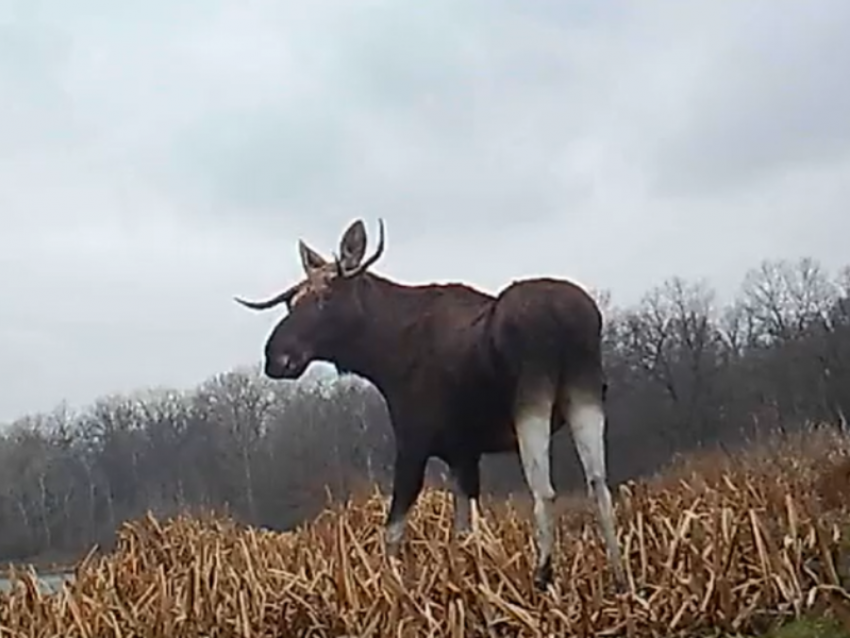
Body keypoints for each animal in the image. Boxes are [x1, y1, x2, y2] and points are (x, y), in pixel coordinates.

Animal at [235, 220, 628, 596]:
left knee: (545, 491)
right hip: (585, 391)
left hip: (532, 399)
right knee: (599, 484)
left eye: (326, 297)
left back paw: (543, 579)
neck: (382, 356)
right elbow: (465, 530)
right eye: (291, 303)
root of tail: (567, 318)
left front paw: (390, 588)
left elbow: (393, 531)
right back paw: (620, 580)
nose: (276, 357)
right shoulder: (463, 454)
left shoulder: (414, 443)